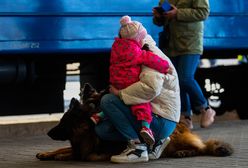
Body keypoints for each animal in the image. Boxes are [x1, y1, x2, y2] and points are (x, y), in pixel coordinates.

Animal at [35, 83, 233, 161]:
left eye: (62, 124)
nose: (48, 133)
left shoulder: (89, 151)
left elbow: (79, 154)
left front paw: (61, 156)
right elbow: (63, 148)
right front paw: (47, 153)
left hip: (176, 139)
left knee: (202, 148)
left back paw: (185, 152)